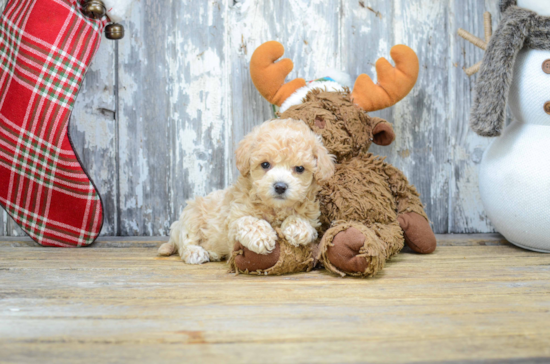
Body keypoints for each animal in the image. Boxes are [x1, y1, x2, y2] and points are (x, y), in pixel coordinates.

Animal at [157, 119, 334, 264]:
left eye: (299, 168)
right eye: (265, 164)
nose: (280, 186)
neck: (275, 209)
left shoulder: (312, 216)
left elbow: (304, 221)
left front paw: (298, 229)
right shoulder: (234, 219)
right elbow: (249, 221)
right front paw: (263, 236)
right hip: (191, 214)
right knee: (186, 240)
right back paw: (195, 252)